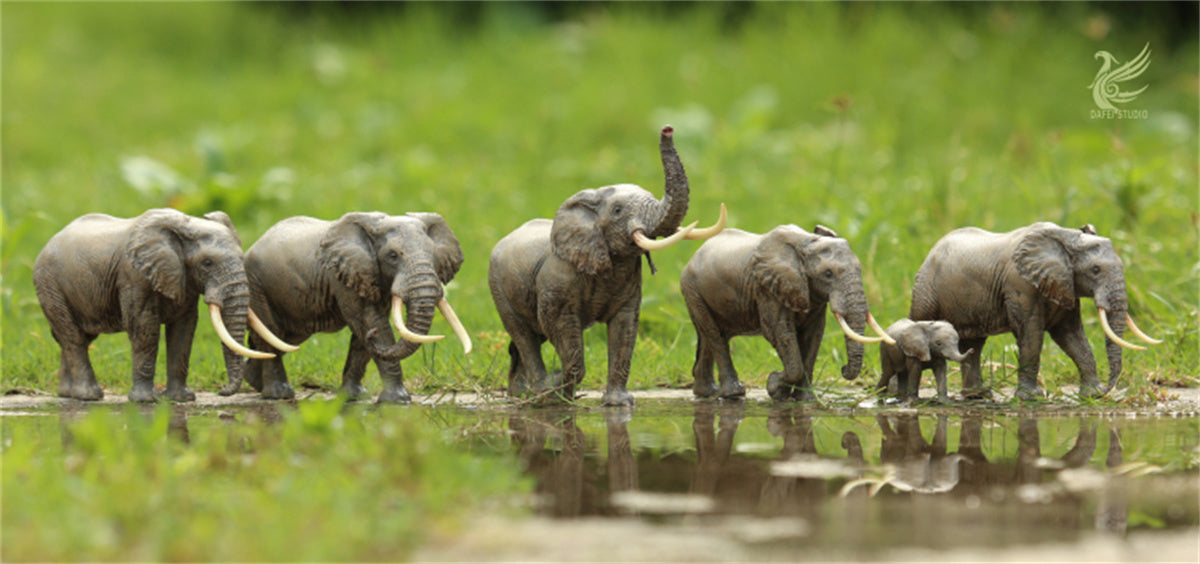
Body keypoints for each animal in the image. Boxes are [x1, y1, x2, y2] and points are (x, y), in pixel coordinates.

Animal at [32, 208, 286, 402]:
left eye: (243, 259)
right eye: (207, 263)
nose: (222, 392)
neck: (185, 226)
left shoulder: (182, 279)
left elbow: (184, 330)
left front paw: (182, 399)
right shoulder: (134, 276)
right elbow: (144, 328)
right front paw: (145, 401)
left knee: (77, 337)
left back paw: (67, 394)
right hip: (49, 284)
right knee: (73, 337)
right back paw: (89, 396)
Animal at [243, 211, 471, 403]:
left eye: (433, 255)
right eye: (393, 256)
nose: (372, 335)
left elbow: (363, 337)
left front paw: (355, 397)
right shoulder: (343, 276)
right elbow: (368, 321)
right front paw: (398, 401)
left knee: (285, 338)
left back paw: (254, 381)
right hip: (256, 285)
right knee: (271, 332)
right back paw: (278, 395)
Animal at [488, 126, 725, 407]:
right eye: (618, 211)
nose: (667, 130)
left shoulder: (630, 282)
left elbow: (624, 328)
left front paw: (618, 403)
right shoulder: (558, 280)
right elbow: (561, 328)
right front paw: (559, 394)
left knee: (525, 340)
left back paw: (521, 394)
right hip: (499, 288)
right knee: (524, 336)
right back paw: (540, 394)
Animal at [679, 224, 894, 402]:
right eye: (828, 274)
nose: (843, 368)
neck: (806, 242)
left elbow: (813, 335)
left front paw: (805, 400)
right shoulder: (768, 288)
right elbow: (779, 331)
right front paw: (774, 386)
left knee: (710, 336)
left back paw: (707, 393)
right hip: (692, 289)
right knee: (715, 335)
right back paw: (733, 394)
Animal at [909, 222, 1161, 401]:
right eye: (1095, 270)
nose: (1110, 389)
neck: (1065, 236)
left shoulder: (1065, 285)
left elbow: (1071, 336)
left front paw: (1093, 394)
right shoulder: (1020, 284)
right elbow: (1031, 334)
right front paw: (1032, 398)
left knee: (974, 344)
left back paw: (978, 395)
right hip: (925, 290)